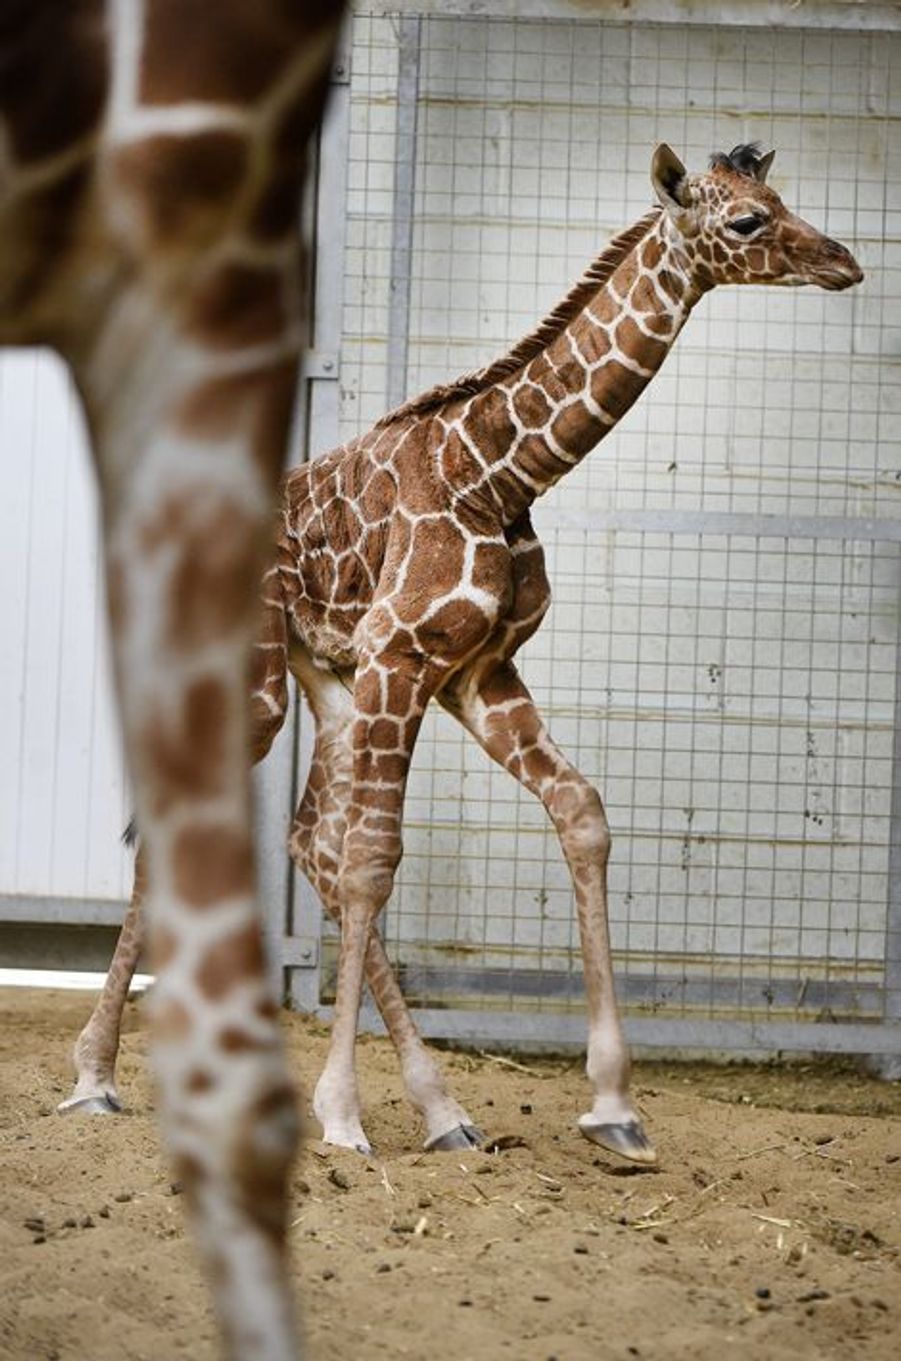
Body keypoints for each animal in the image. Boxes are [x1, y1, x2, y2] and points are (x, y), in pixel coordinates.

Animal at [62, 142, 863, 1168]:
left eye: (779, 199)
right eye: (747, 222)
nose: (844, 261)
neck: (496, 473)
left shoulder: (475, 673)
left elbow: (580, 813)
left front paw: (611, 1104)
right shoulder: (403, 659)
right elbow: (375, 858)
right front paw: (342, 1113)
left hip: (328, 682)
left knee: (305, 836)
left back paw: (437, 1107)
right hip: (264, 682)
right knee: (210, 824)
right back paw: (96, 1078)